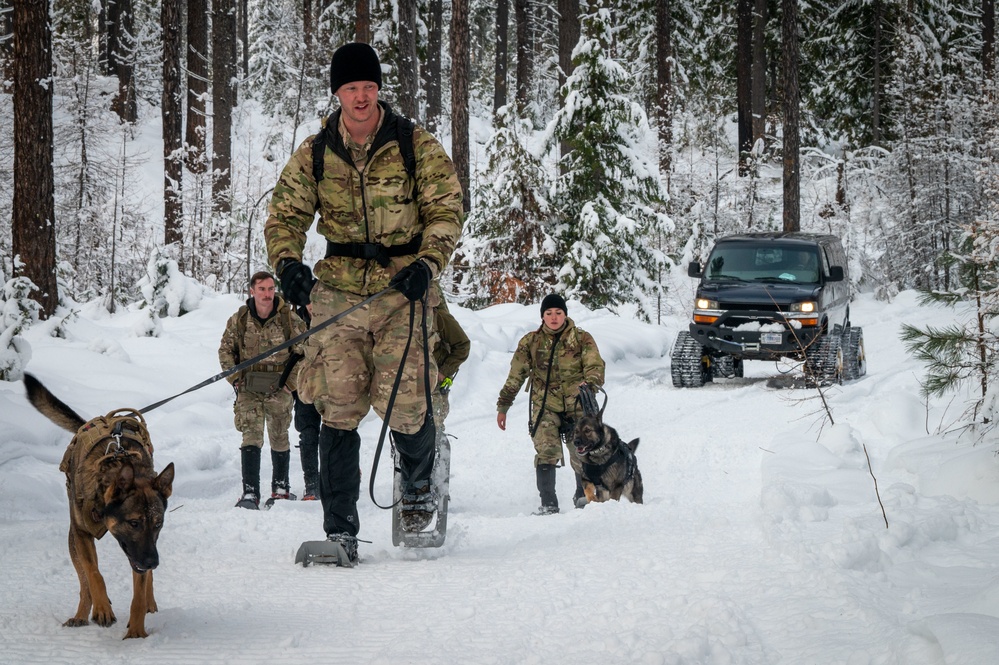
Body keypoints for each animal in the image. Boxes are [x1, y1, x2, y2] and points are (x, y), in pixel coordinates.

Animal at [23, 374, 176, 640]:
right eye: (134, 523)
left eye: (159, 524)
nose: (152, 562)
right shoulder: (82, 534)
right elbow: (93, 574)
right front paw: (103, 609)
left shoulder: (140, 552)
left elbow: (138, 594)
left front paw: (136, 635)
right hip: (74, 541)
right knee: (84, 581)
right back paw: (83, 614)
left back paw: (149, 602)